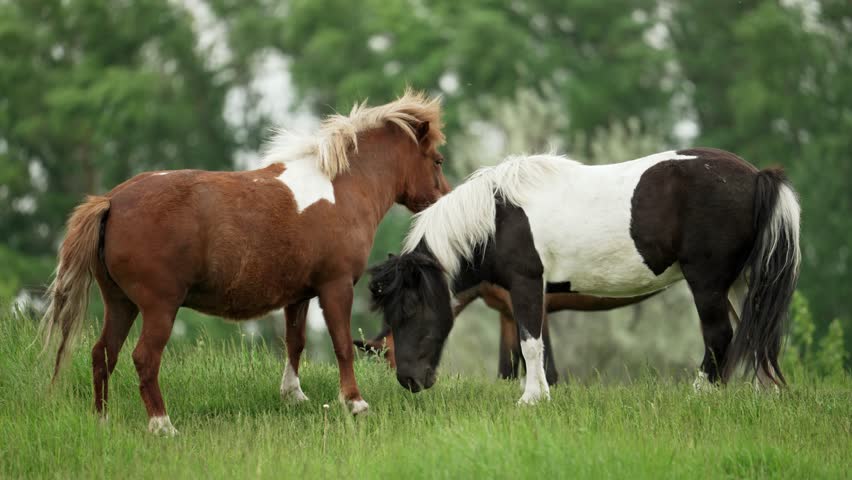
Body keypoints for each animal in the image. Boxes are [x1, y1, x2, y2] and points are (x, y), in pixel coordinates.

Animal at [39, 90, 450, 434]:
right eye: (438, 160)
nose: (443, 199)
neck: (341, 187)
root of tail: (111, 201)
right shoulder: (335, 287)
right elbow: (343, 346)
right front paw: (355, 403)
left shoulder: (299, 295)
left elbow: (295, 342)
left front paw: (293, 395)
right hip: (159, 307)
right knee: (144, 358)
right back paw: (162, 425)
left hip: (120, 303)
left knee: (102, 354)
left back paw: (102, 420)